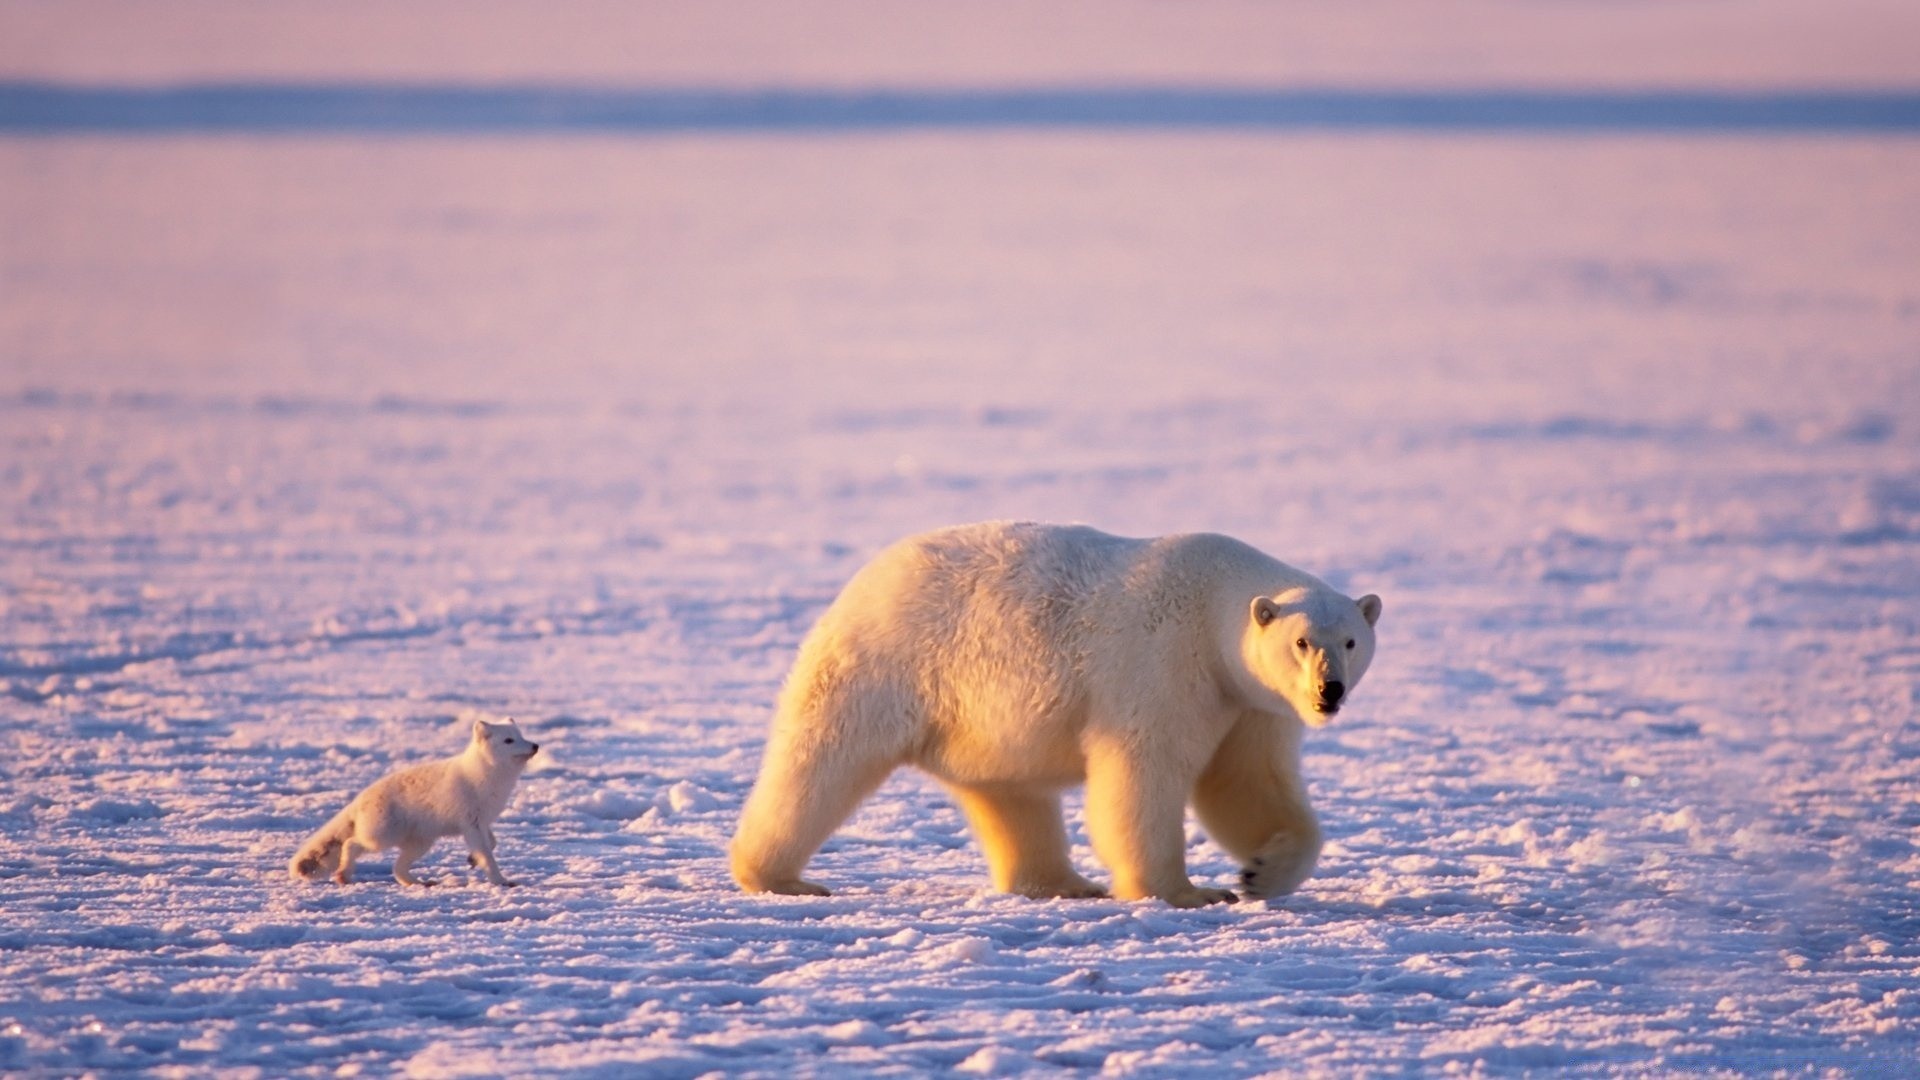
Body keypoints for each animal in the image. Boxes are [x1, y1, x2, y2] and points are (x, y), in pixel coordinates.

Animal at [288, 714, 537, 883]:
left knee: (397, 868)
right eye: (508, 740)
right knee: (351, 843)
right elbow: (487, 854)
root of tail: (359, 799)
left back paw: (419, 883)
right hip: (382, 836)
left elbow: (492, 843)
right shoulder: (471, 823)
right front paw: (500, 881)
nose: (535, 745)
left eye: (522, 736)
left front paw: (472, 860)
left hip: (420, 843)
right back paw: (343, 874)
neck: (486, 777)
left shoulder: (482, 822)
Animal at [733, 518, 1382, 899]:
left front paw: (1260, 871)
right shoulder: (1164, 664)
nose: (1329, 691)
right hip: (888, 665)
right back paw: (779, 877)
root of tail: (862, 580)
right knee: (822, 761)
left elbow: (1247, 783)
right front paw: (1185, 892)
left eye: (1351, 640)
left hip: (980, 721)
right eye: (1302, 642)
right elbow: (1143, 775)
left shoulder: (1249, 703)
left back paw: (1063, 882)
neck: (1213, 602)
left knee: (1011, 795)